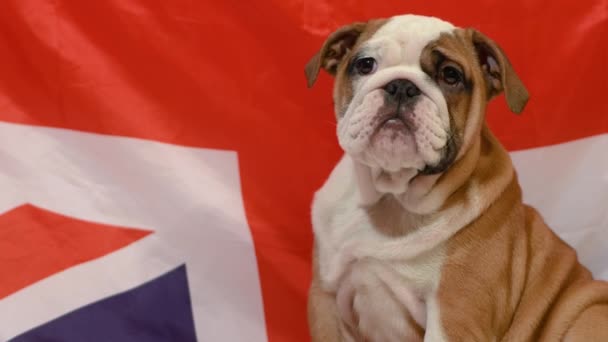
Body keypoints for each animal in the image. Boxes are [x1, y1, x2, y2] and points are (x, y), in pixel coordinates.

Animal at [306, 14, 608, 342]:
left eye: (450, 75)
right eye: (365, 65)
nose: (401, 85)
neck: (392, 196)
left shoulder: (453, 318)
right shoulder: (325, 301)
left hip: (586, 315)